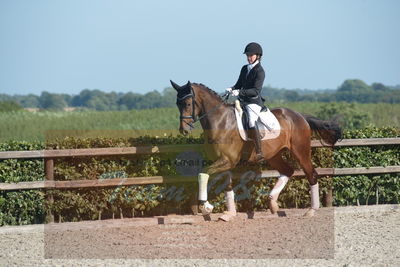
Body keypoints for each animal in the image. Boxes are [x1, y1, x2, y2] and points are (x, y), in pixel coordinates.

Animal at [170, 80, 342, 222]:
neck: (220, 121)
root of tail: (300, 116)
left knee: (311, 174)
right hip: (274, 156)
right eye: (177, 104)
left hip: (300, 152)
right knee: (288, 170)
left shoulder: (227, 160)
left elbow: (203, 173)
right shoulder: (224, 163)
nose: (184, 130)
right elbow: (227, 185)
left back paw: (311, 210)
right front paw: (229, 214)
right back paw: (273, 204)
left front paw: (206, 207)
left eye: (187, 103)